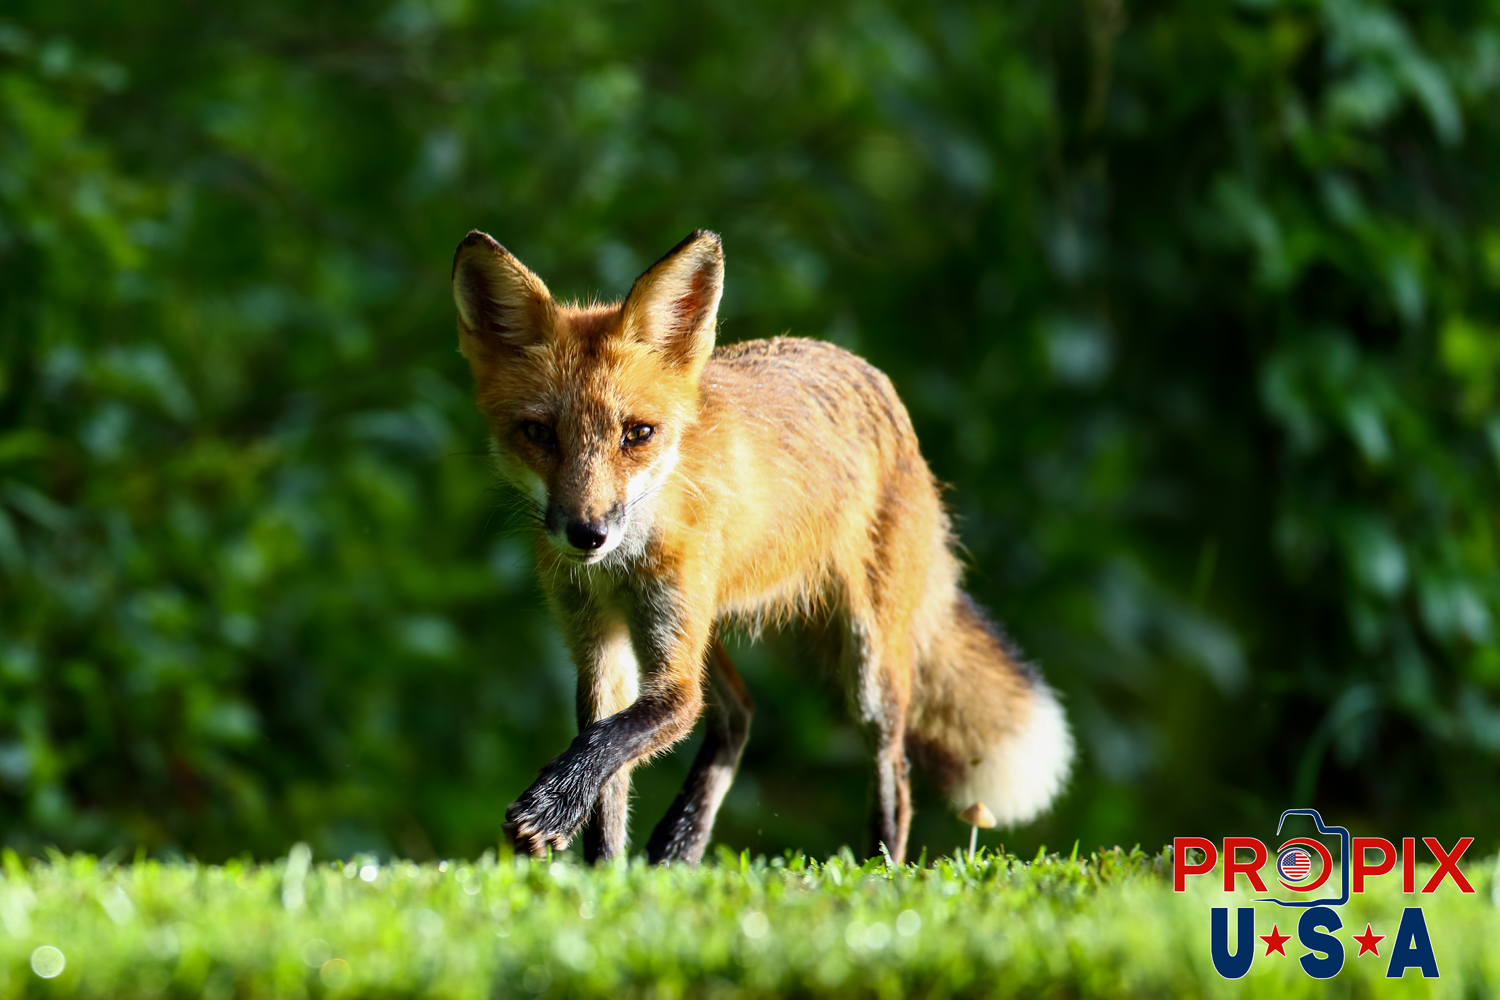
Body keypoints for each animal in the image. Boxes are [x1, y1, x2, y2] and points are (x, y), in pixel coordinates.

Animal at [451, 228, 1073, 864]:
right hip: (709, 624)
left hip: (867, 668)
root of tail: (869, 375)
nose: (586, 532)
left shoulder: (672, 672)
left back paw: (879, 869)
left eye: (637, 434)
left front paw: (551, 806)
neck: (622, 566)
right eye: (539, 433)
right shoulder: (598, 645)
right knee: (740, 714)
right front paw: (604, 871)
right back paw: (681, 842)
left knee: (894, 780)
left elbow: (617, 736)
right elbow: (608, 781)